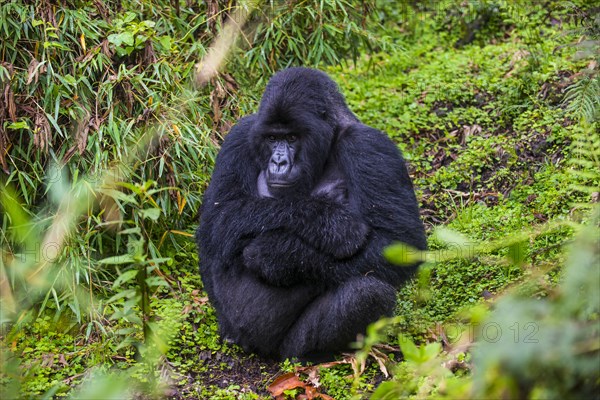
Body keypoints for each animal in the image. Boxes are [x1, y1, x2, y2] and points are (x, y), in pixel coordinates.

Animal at [197, 67, 426, 360]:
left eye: (292, 138)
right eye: (273, 138)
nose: (279, 162)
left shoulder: (369, 145)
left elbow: (398, 243)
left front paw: (275, 254)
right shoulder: (240, 135)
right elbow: (219, 218)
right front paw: (334, 224)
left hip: (286, 349)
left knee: (367, 293)